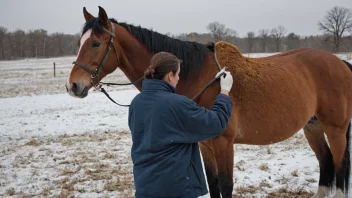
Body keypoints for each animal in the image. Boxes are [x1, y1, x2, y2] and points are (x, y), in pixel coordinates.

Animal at [65, 6, 352, 198]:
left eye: (95, 43)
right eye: (79, 42)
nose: (73, 86)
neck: (201, 77)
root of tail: (340, 63)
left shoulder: (224, 143)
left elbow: (225, 186)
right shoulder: (204, 145)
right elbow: (213, 185)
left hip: (335, 129)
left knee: (339, 167)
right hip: (312, 126)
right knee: (326, 164)